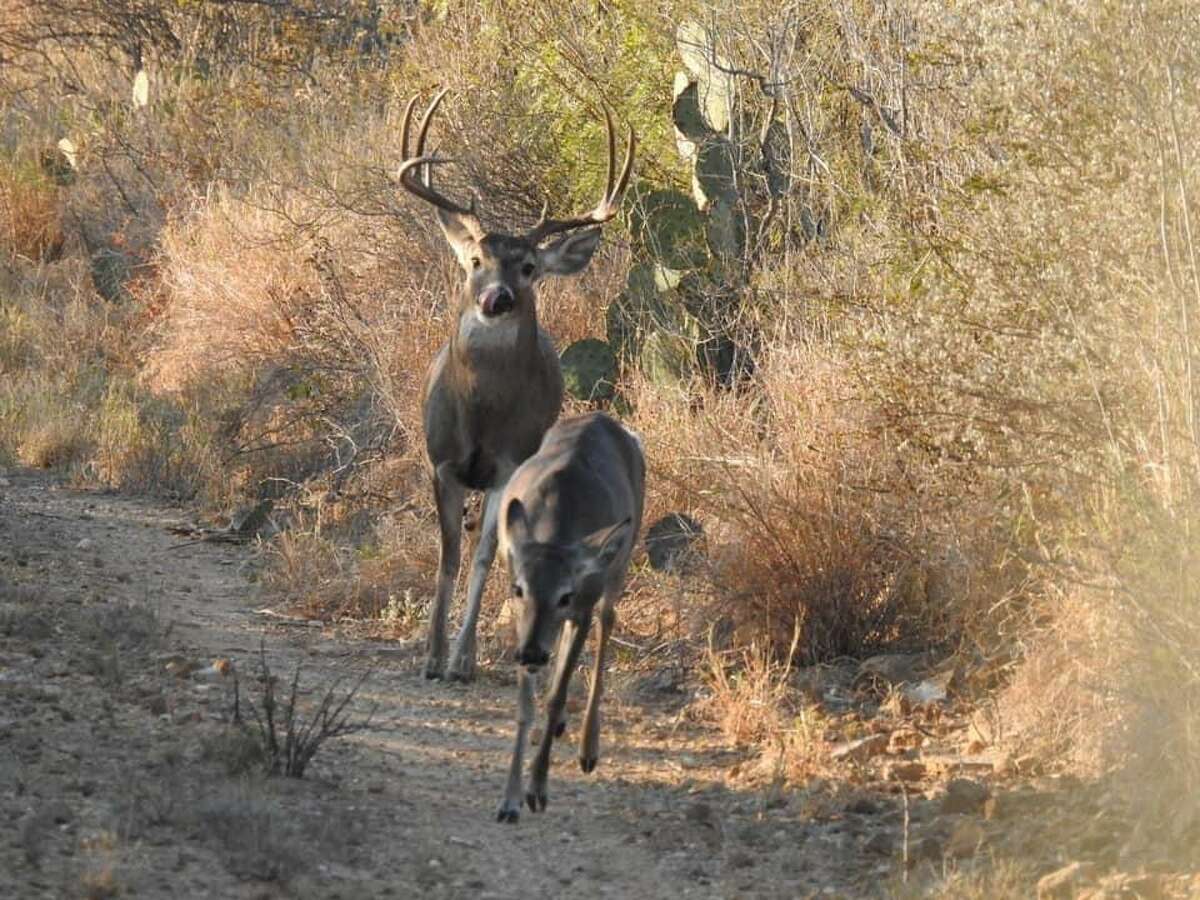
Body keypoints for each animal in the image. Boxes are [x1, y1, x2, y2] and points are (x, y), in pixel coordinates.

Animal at [396, 93, 638, 681]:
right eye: (476, 260)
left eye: (528, 266)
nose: (497, 298)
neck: (482, 417)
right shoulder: (441, 460)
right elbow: (447, 555)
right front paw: (430, 655)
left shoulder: (507, 464)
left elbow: (484, 557)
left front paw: (460, 659)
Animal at [496, 415, 648, 825]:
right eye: (518, 589)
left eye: (565, 594)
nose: (532, 654)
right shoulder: (522, 621)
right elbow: (526, 706)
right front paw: (510, 801)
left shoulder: (582, 606)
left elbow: (558, 693)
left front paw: (537, 790)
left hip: (618, 563)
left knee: (607, 623)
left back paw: (587, 748)